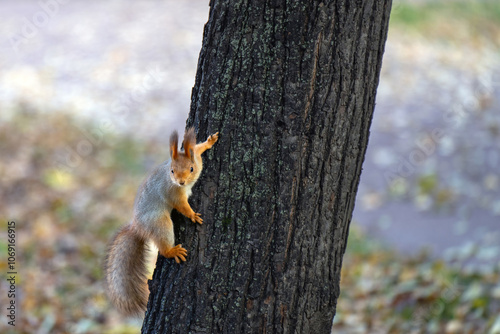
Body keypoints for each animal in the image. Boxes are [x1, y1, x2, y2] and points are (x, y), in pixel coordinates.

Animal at [104, 127, 219, 316]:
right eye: (172, 170)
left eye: (191, 168)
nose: (181, 181)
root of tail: (138, 227)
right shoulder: (173, 193)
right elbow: (182, 206)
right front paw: (193, 215)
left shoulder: (196, 156)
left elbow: (198, 148)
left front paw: (210, 141)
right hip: (160, 222)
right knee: (164, 246)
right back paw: (172, 251)